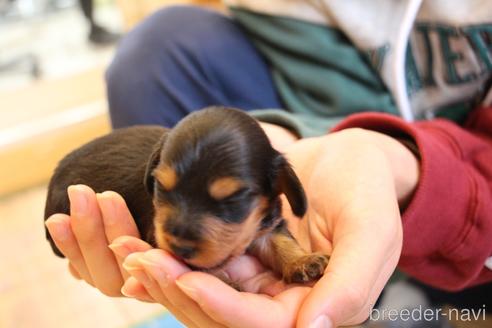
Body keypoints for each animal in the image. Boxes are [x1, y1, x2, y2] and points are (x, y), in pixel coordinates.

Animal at [44, 106, 328, 284]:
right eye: (161, 186)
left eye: (233, 199)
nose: (179, 246)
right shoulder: (155, 233)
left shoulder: (266, 223)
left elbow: (280, 241)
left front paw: (303, 261)